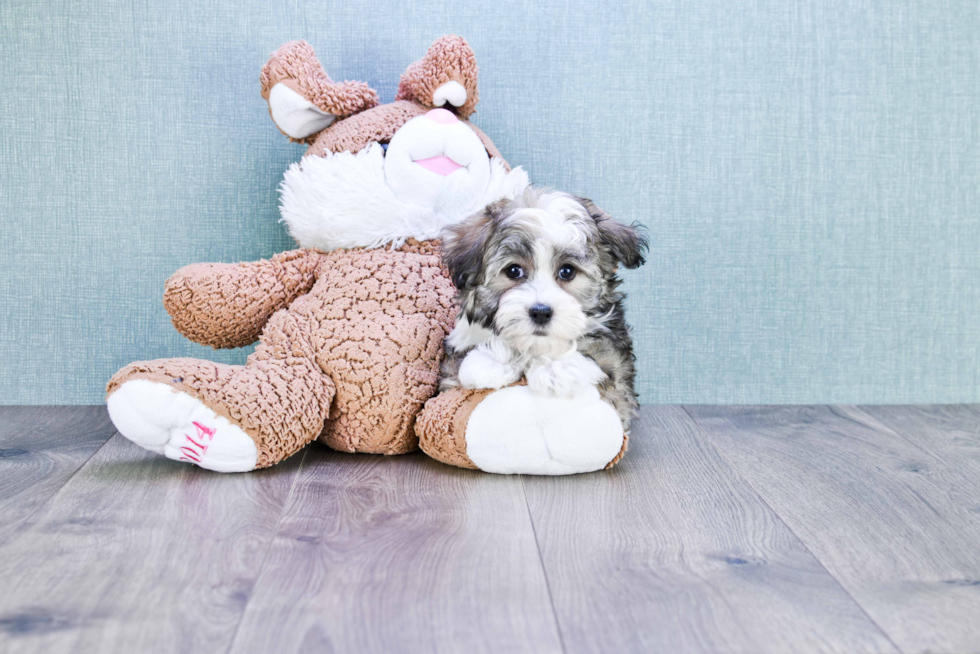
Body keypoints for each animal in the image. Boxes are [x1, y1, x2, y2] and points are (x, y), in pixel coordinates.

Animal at [440, 186, 648, 430]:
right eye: (514, 271)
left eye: (567, 271)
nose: (541, 312)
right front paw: (492, 361)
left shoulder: (617, 367)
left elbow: (603, 358)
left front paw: (556, 368)